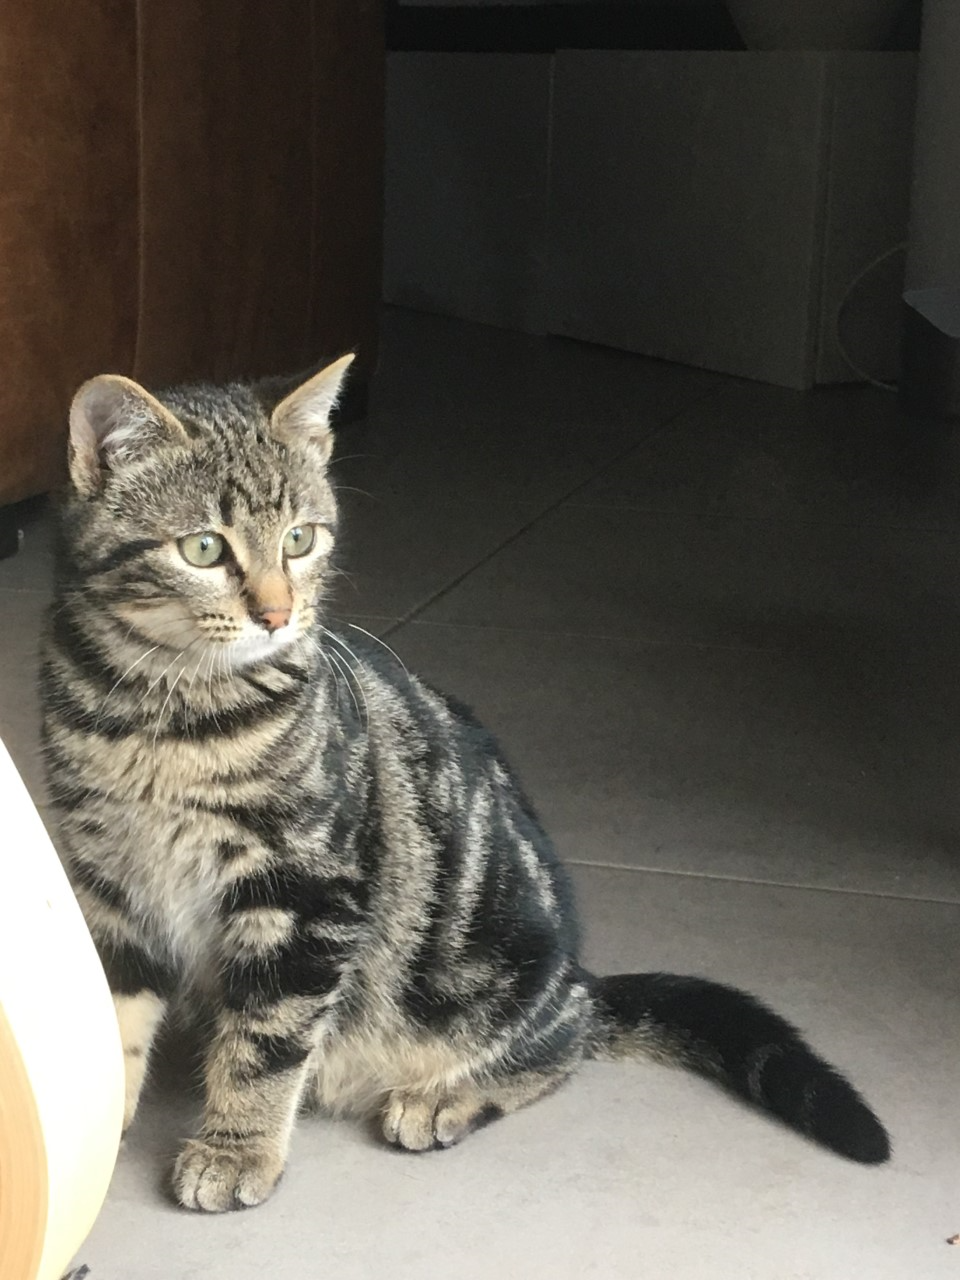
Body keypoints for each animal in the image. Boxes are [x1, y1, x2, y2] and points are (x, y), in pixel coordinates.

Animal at [41, 355, 890, 1214]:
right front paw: (92, 1132)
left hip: (491, 986)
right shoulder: (109, 882)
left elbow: (268, 1040)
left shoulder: (309, 894)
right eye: (205, 548)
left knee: (561, 1044)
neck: (163, 714)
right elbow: (110, 1017)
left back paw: (445, 1098)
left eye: (299, 540)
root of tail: (578, 974)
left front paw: (235, 1149)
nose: (278, 614)